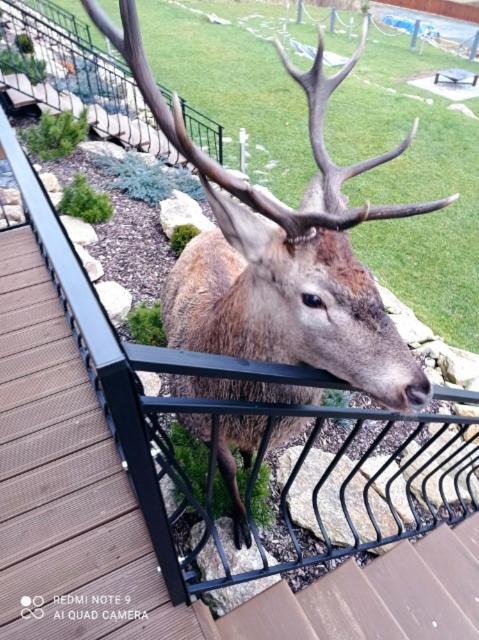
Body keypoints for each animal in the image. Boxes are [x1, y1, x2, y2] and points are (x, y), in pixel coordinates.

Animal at [81, 0, 458, 552]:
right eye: (313, 298)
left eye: (369, 278)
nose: (420, 388)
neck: (240, 408)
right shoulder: (198, 423)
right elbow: (231, 476)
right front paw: (241, 528)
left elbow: (256, 468)